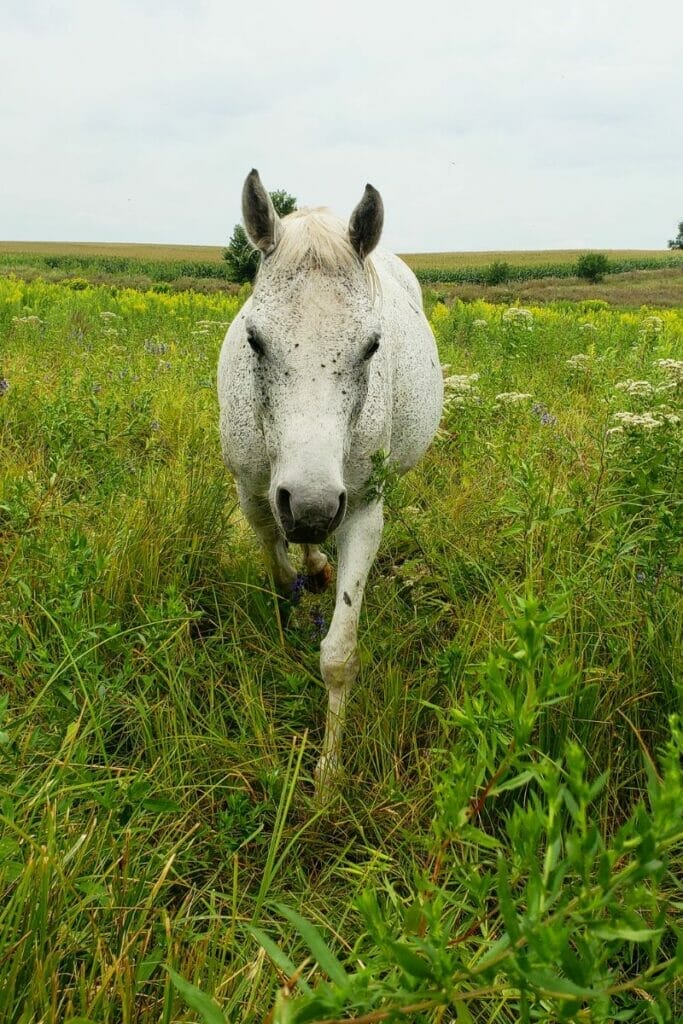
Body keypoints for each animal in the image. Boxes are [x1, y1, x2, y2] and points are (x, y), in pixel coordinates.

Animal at [218, 169, 444, 790]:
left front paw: (329, 772)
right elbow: (278, 570)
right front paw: (295, 605)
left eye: (372, 344)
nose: (312, 505)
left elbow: (339, 655)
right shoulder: (254, 498)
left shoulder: (361, 513)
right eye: (254, 339)